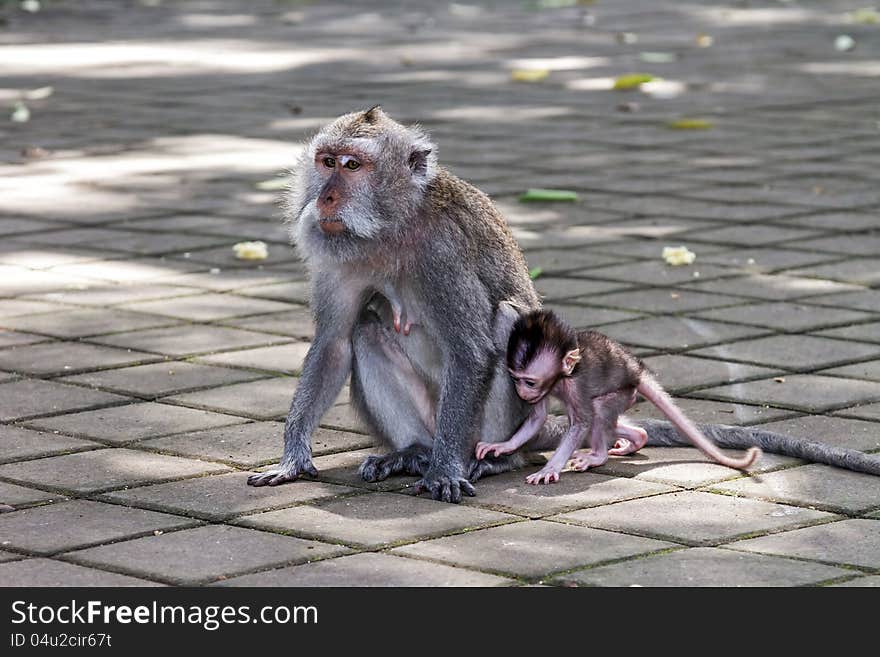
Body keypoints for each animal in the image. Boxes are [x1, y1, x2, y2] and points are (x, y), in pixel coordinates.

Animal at [478, 310, 760, 484]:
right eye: (515, 378)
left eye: (529, 381)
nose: (522, 392)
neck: (562, 376)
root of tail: (635, 370)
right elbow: (538, 417)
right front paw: (503, 446)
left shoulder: (576, 385)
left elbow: (581, 423)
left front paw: (550, 468)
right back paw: (637, 438)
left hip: (625, 393)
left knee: (598, 410)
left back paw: (598, 456)